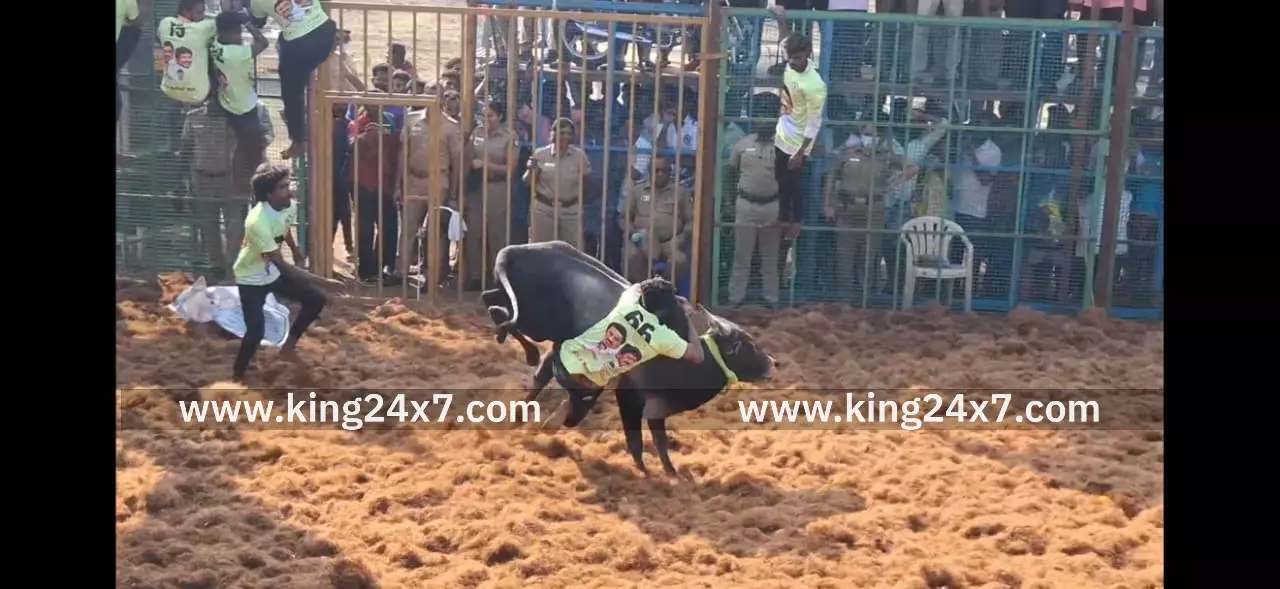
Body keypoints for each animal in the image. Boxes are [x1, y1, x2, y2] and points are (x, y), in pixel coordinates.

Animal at [482, 241, 777, 475]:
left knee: (499, 312)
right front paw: (663, 473)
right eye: (746, 346)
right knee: (504, 317)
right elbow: (644, 440)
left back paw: (520, 414)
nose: (773, 364)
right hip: (537, 322)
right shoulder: (637, 399)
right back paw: (527, 358)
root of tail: (511, 253)